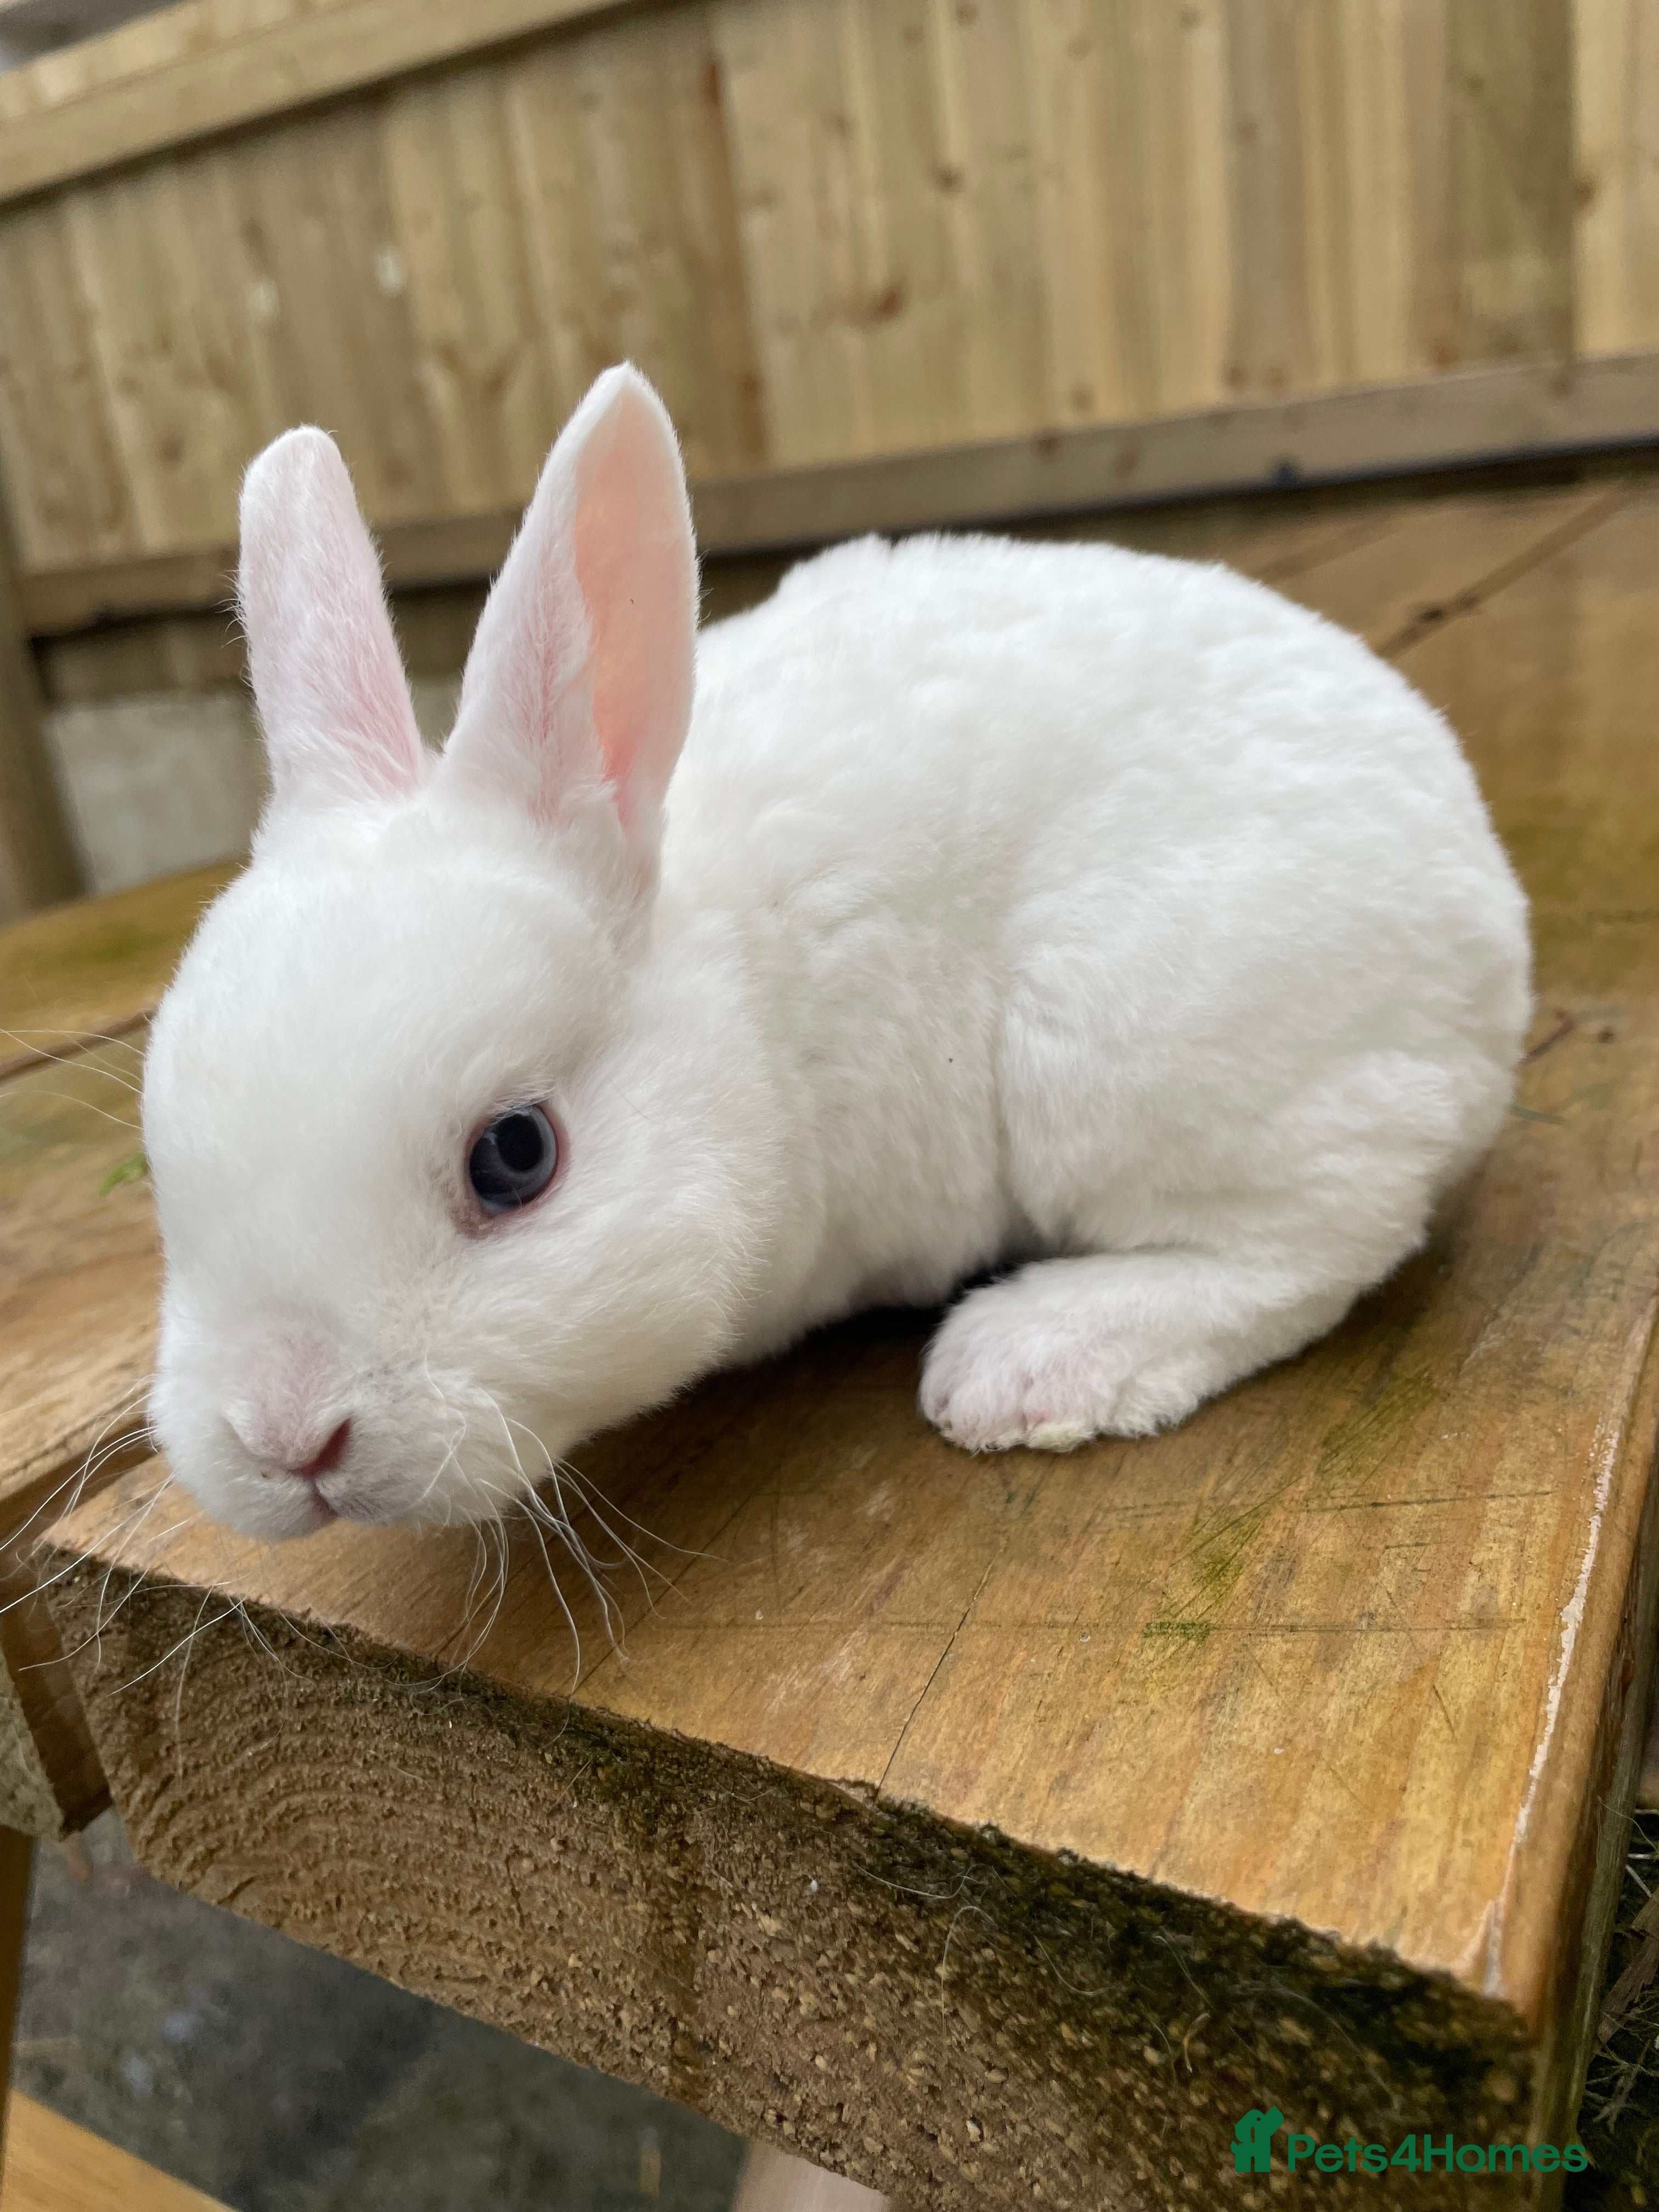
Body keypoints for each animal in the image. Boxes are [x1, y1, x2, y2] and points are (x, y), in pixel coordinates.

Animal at [143, 364, 1530, 1540]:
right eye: (166, 1160)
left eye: (517, 1156)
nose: (282, 1433)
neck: (751, 1006)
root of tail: (1488, 912)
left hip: (1137, 1044)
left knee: (1320, 1241)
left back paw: (1025, 1363)